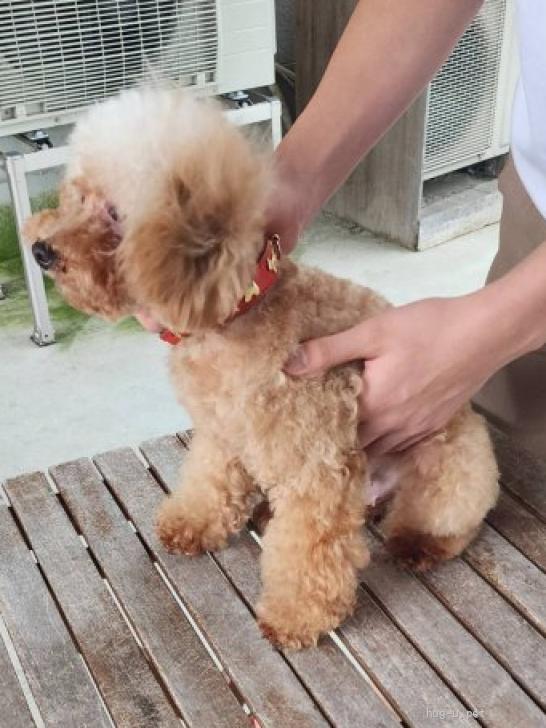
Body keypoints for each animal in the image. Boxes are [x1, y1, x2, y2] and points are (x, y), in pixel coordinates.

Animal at [25, 88, 499, 649]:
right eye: (75, 196)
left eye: (116, 213)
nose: (39, 249)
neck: (237, 311)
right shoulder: (220, 433)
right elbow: (210, 481)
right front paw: (192, 523)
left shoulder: (317, 468)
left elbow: (307, 552)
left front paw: (296, 616)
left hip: (450, 476)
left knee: (451, 521)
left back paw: (418, 544)